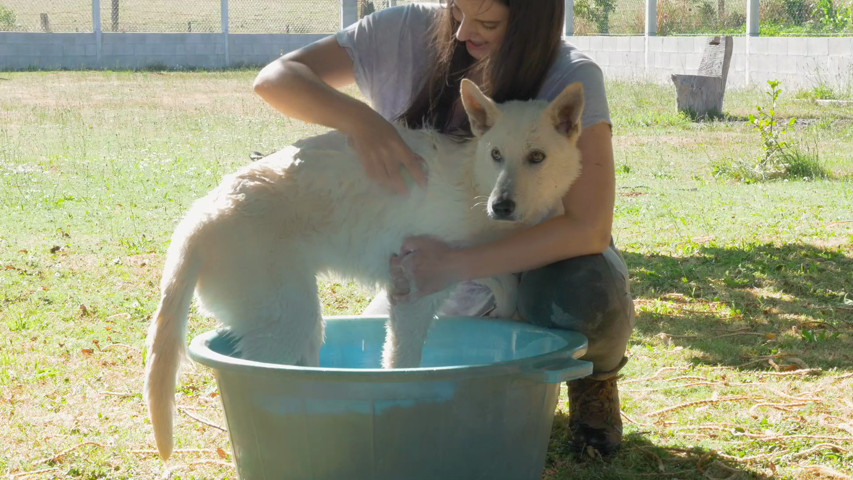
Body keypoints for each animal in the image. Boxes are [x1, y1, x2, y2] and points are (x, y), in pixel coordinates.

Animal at [146, 79, 584, 462]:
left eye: (537, 157)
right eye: (496, 155)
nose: (502, 206)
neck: (473, 184)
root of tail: (201, 215)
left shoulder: (460, 260)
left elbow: (502, 276)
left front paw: (509, 311)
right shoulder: (413, 294)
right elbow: (402, 365)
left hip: (297, 324)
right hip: (289, 323)